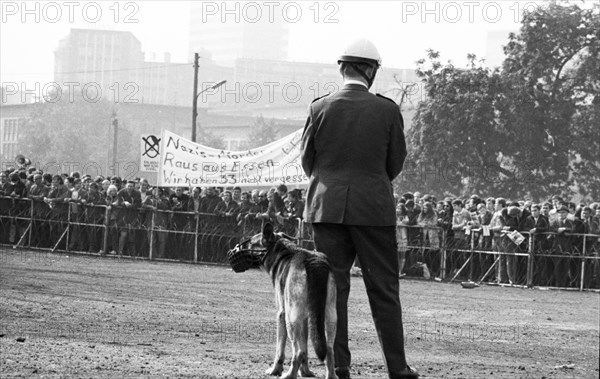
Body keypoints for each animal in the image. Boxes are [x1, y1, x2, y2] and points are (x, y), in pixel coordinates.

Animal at [240, 224, 338, 378]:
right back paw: (331, 374)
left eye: (251, 243)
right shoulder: (305, 318)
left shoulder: (281, 313)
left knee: (297, 352)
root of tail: (313, 262)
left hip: (291, 318)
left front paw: (275, 369)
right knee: (328, 350)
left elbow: (280, 349)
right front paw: (305, 372)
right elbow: (305, 349)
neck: (281, 250)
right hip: (330, 316)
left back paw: (289, 374)